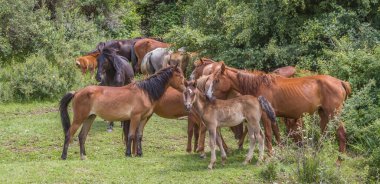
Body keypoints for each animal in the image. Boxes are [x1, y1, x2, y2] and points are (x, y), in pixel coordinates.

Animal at [58, 64, 186, 160]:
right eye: (179, 75)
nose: (186, 88)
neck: (144, 92)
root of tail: (77, 92)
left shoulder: (143, 118)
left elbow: (139, 136)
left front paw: (140, 153)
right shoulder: (135, 117)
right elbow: (131, 135)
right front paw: (128, 153)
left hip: (90, 118)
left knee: (82, 136)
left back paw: (83, 156)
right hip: (79, 118)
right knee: (69, 134)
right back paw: (64, 156)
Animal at [205, 61, 350, 164]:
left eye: (217, 80)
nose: (207, 96)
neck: (258, 85)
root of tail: (340, 82)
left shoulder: (265, 116)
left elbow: (268, 135)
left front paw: (269, 155)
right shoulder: (272, 116)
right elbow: (277, 134)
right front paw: (279, 153)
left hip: (333, 114)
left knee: (341, 133)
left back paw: (339, 160)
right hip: (323, 114)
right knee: (324, 134)